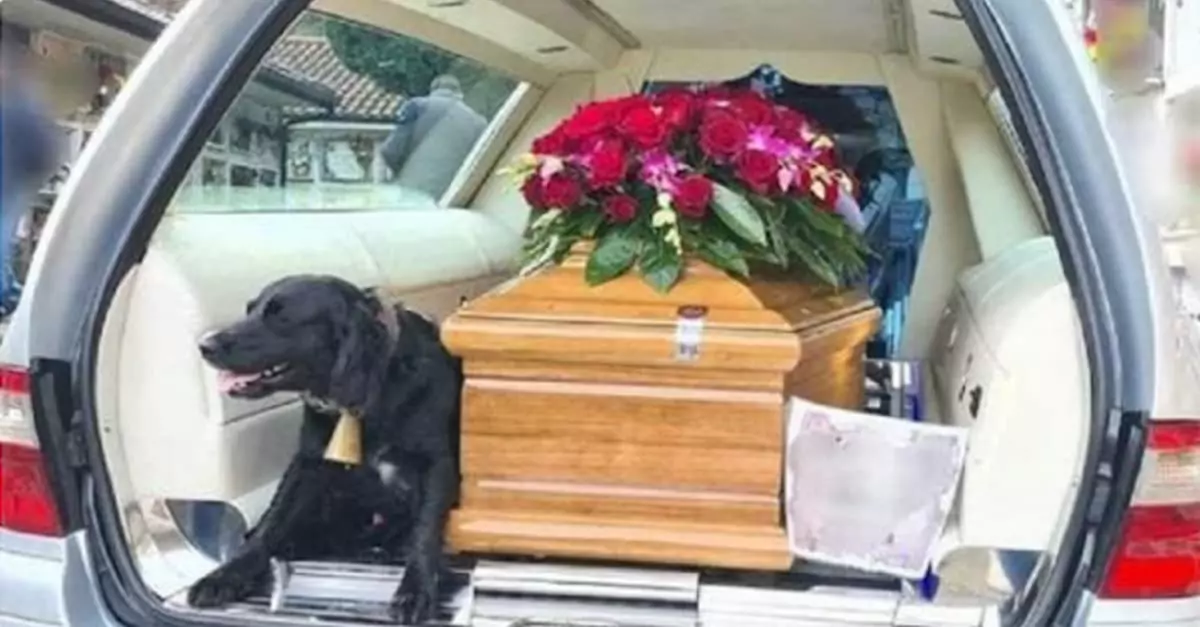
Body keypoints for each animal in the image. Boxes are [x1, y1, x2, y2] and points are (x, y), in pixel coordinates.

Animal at [189, 273, 460, 619]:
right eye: (249, 310)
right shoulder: (308, 462)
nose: (205, 346)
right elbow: (271, 524)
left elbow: (424, 531)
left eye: (281, 316)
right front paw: (225, 576)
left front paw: (415, 591)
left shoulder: (436, 465)